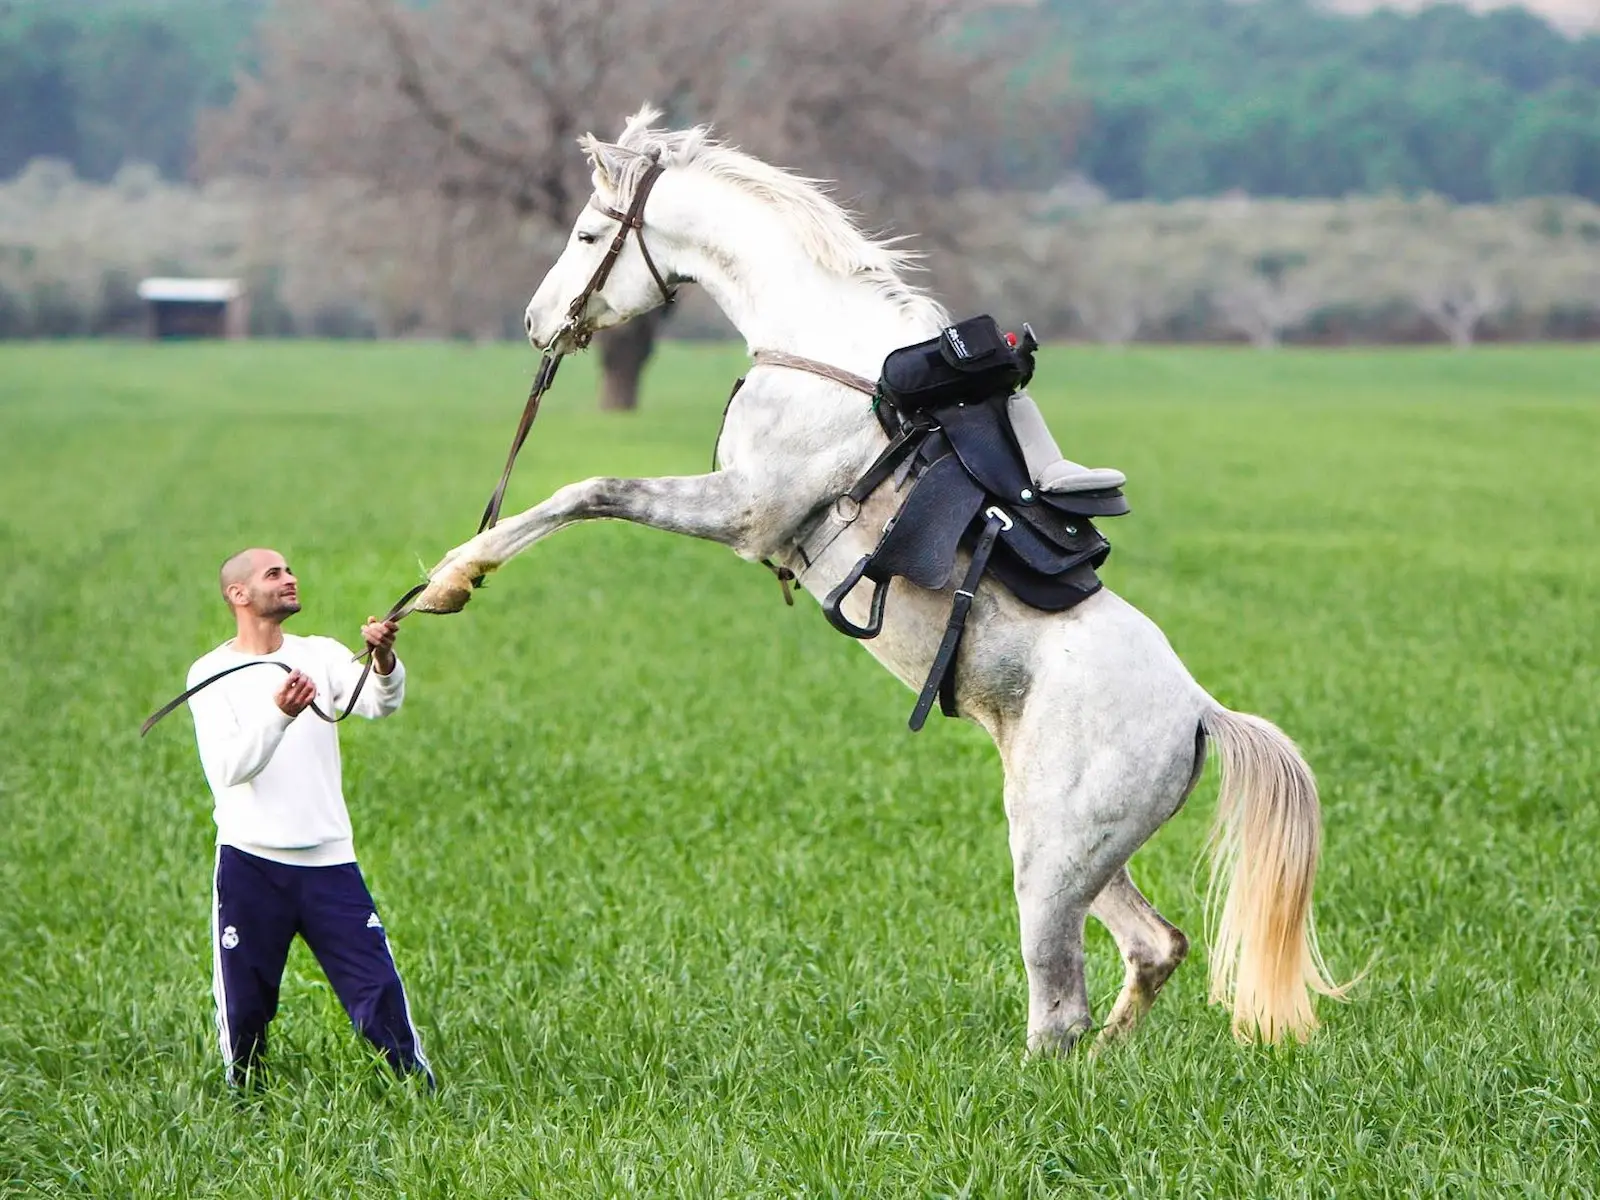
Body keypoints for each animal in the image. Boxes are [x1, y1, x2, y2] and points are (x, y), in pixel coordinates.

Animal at [416, 110, 1350, 1049]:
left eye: (586, 234)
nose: (537, 323)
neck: (819, 353)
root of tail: (1199, 712)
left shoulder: (744, 509)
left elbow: (588, 490)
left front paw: (452, 577)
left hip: (1051, 859)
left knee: (1060, 1005)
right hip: (1078, 850)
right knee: (1153, 948)